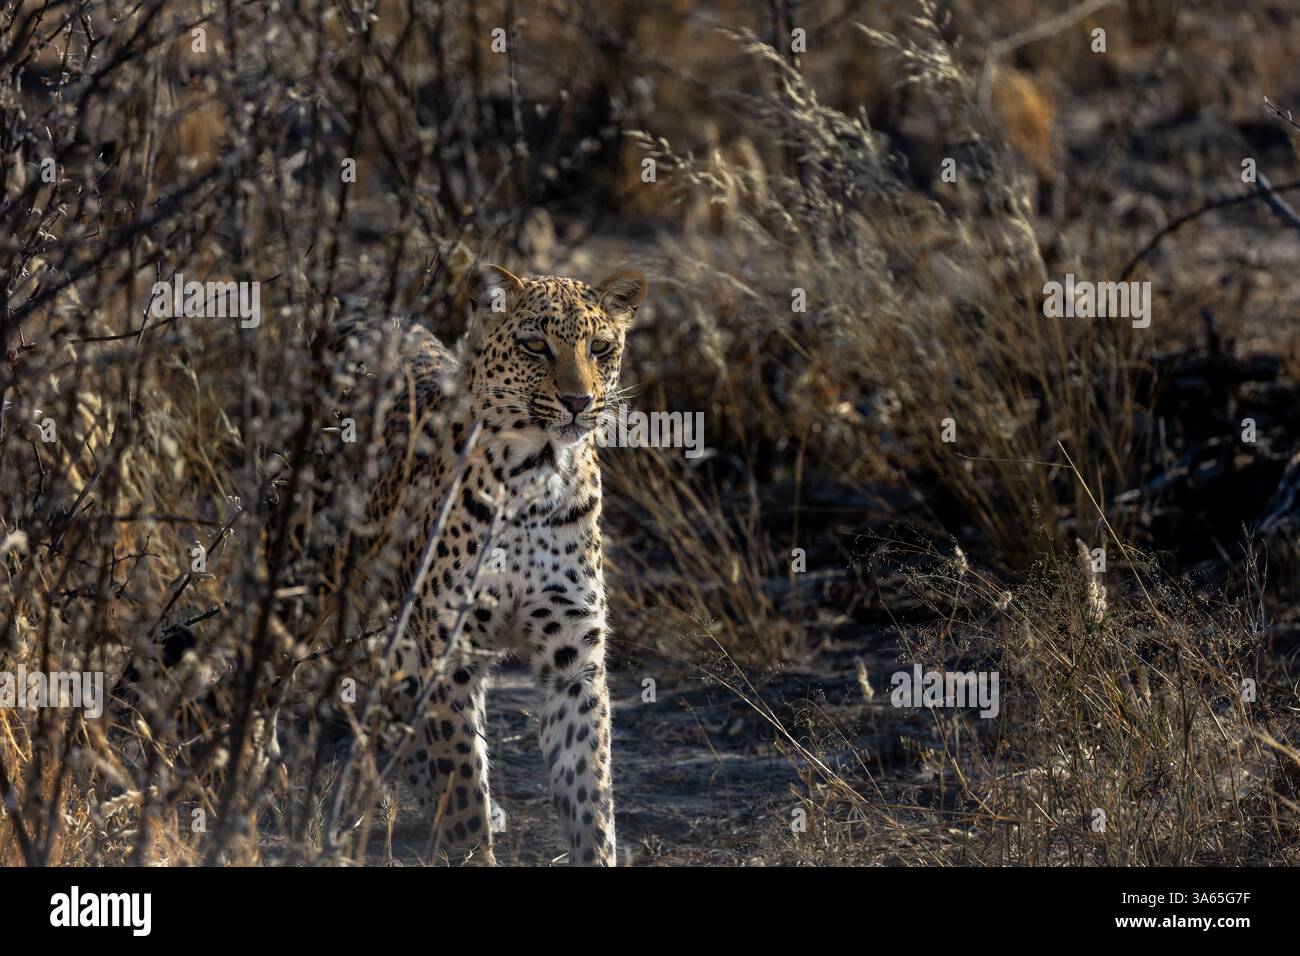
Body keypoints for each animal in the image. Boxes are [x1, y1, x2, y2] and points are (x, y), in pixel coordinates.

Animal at [356, 265, 646, 866]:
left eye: (600, 348)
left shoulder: (573, 659)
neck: (537, 474)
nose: (578, 401)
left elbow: (590, 785)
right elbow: (463, 776)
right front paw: (471, 845)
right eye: (535, 346)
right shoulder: (450, 650)